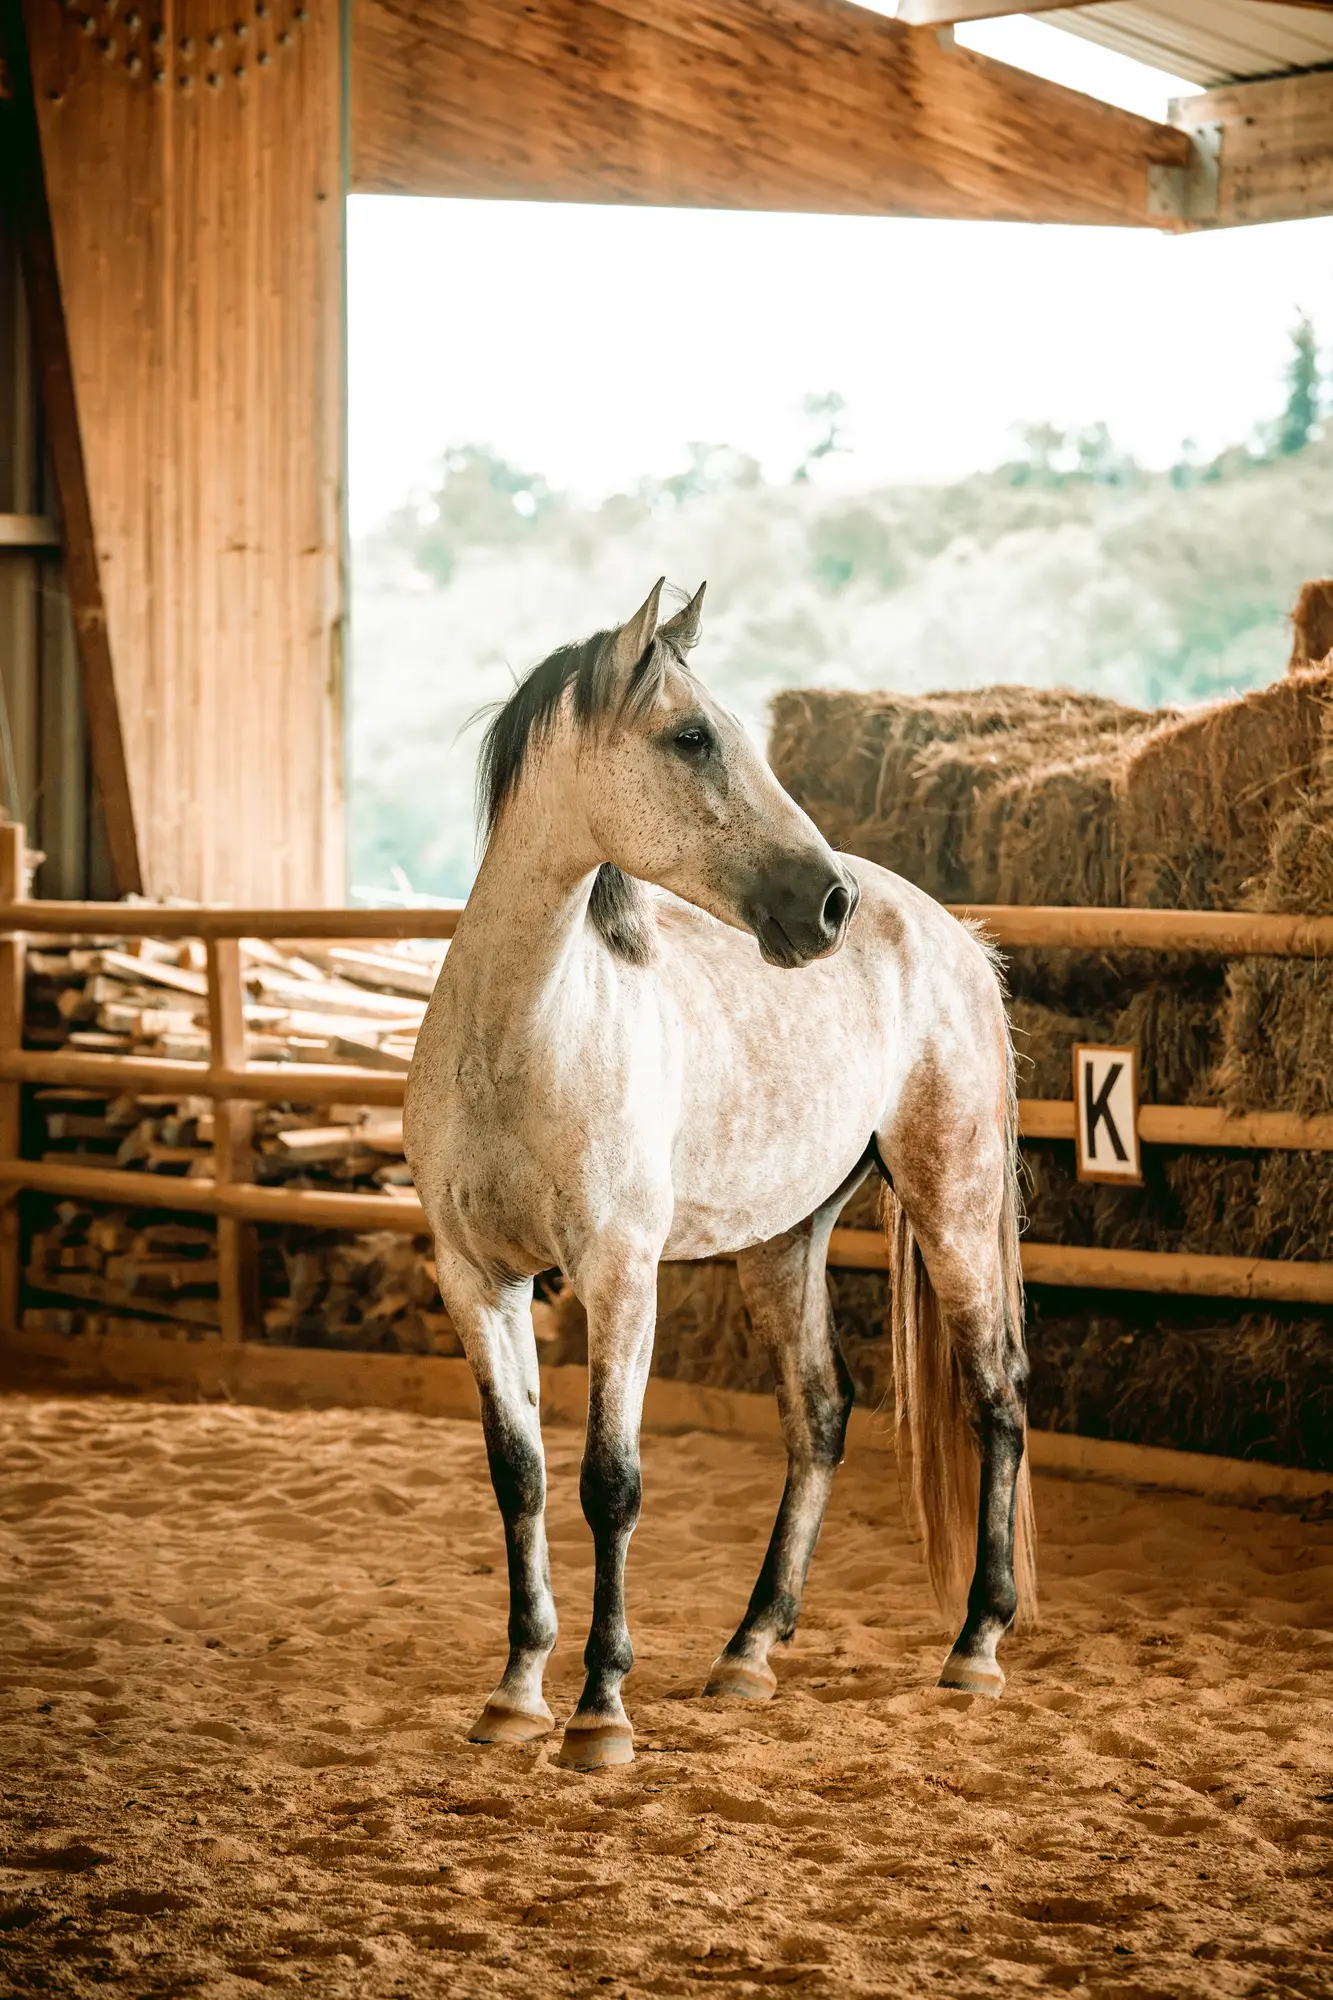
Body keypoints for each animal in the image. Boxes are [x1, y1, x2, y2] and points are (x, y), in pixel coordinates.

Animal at [403, 579, 1036, 1773]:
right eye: (691, 737)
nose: (825, 904)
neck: (522, 1037)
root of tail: (953, 935)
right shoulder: (476, 1279)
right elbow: (520, 1474)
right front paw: (515, 1694)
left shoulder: (619, 1274)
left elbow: (610, 1484)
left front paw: (599, 1712)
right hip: (784, 1240)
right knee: (820, 1414)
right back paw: (747, 1650)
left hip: (954, 1205)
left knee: (997, 1400)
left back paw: (976, 1644)